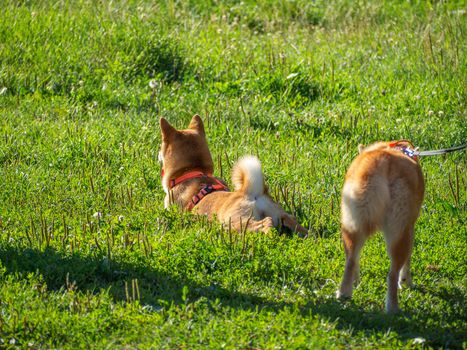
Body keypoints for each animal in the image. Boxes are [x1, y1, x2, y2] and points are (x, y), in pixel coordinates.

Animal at [159, 115, 308, 235]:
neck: (194, 170)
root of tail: (250, 192)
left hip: (236, 222)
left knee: (266, 223)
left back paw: (271, 237)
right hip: (280, 214)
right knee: (292, 221)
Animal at [338, 141, 426, 314]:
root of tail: (381, 161)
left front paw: (356, 282)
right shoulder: (410, 227)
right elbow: (408, 261)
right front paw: (406, 282)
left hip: (351, 226)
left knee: (351, 260)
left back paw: (344, 293)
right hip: (399, 233)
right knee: (392, 274)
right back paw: (393, 308)